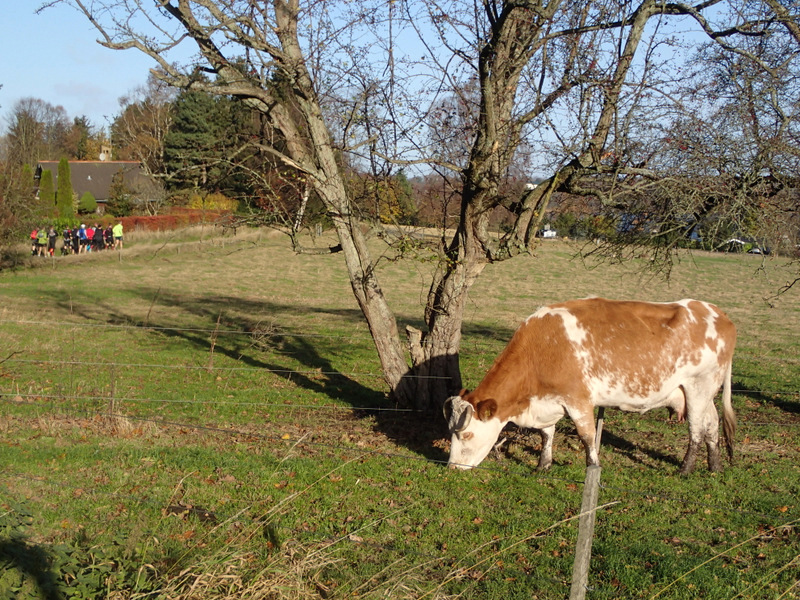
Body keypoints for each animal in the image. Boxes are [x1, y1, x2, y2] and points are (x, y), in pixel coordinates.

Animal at [444, 298, 736, 476]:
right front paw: (543, 465)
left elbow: (586, 436)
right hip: (703, 391)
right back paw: (715, 466)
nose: (451, 467)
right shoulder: (549, 400)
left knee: (697, 430)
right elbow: (546, 434)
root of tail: (716, 312)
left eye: (466, 435)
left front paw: (592, 467)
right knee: (712, 425)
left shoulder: (578, 399)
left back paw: (685, 469)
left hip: (699, 386)